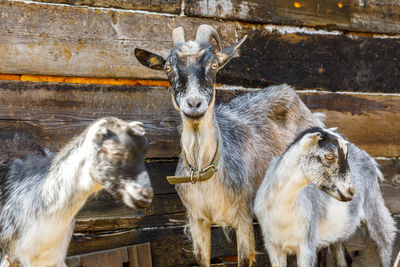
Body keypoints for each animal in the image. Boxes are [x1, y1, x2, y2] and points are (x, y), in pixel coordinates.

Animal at [134, 24, 324, 266]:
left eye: (214, 65)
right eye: (168, 67)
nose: (194, 104)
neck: (204, 171)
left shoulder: (243, 216)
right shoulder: (197, 220)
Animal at [255, 127, 396, 267]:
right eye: (329, 156)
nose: (351, 191)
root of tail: (365, 154)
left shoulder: (307, 246)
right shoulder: (273, 247)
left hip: (373, 205)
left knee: (385, 240)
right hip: (339, 230)